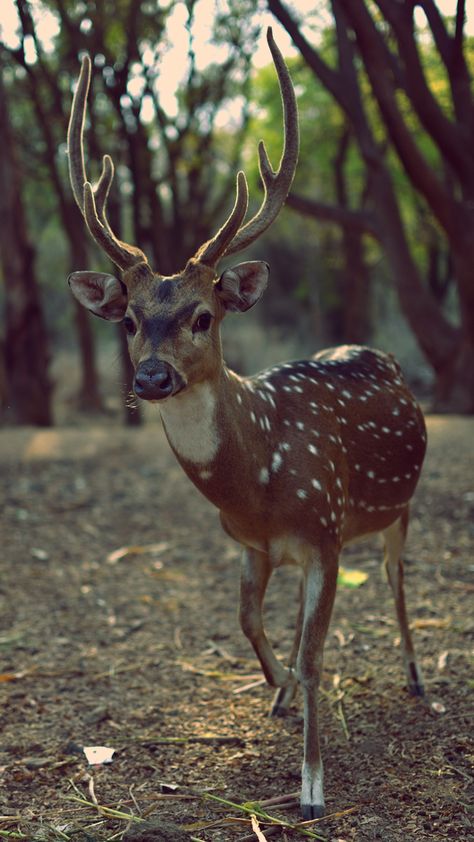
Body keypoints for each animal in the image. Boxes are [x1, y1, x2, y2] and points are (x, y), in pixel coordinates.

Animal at [65, 29, 426, 816]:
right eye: (130, 321)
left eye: (204, 315)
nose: (151, 378)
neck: (259, 477)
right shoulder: (251, 544)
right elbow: (251, 624)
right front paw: (277, 690)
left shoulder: (325, 531)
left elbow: (317, 655)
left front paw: (313, 785)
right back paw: (285, 696)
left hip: (396, 509)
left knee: (395, 581)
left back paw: (416, 679)